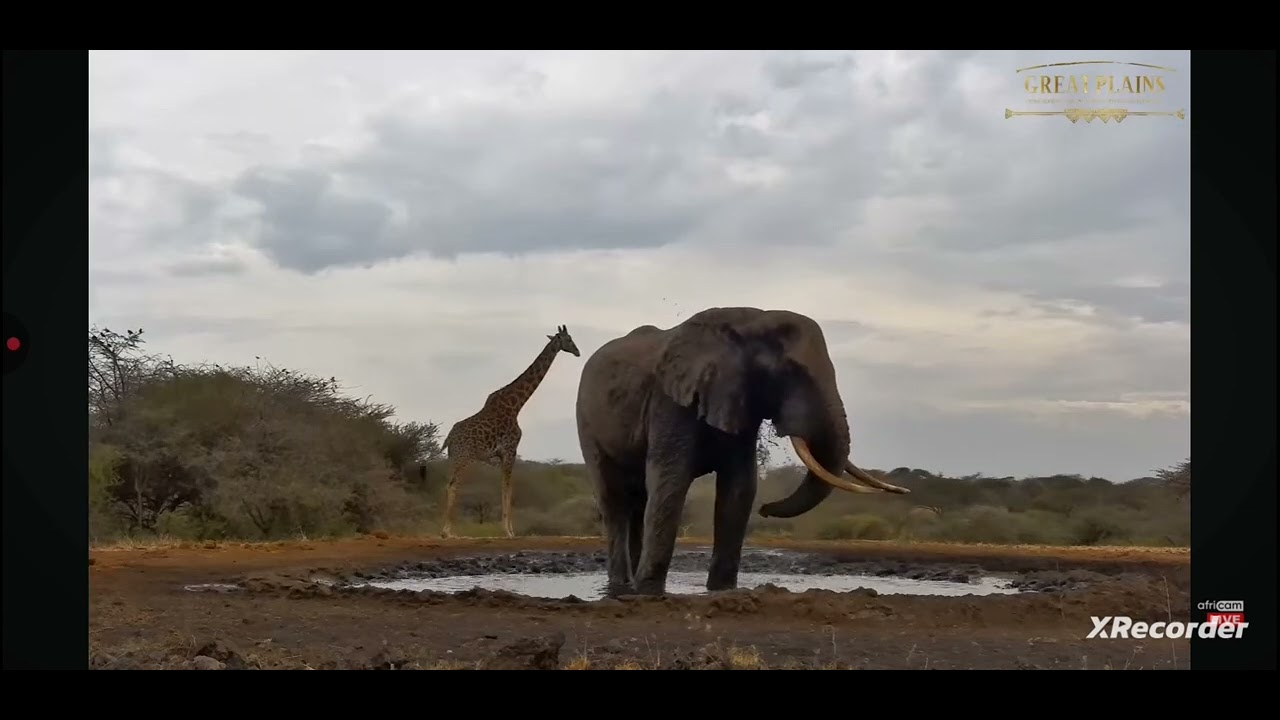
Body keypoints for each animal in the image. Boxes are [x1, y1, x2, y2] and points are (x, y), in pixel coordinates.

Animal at [574, 306, 910, 597]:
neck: (750, 320)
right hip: (587, 424)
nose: (767, 510)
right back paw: (622, 586)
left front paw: (722, 591)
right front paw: (649, 593)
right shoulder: (670, 402)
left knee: (638, 501)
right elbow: (671, 481)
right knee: (614, 499)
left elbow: (740, 487)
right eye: (791, 370)